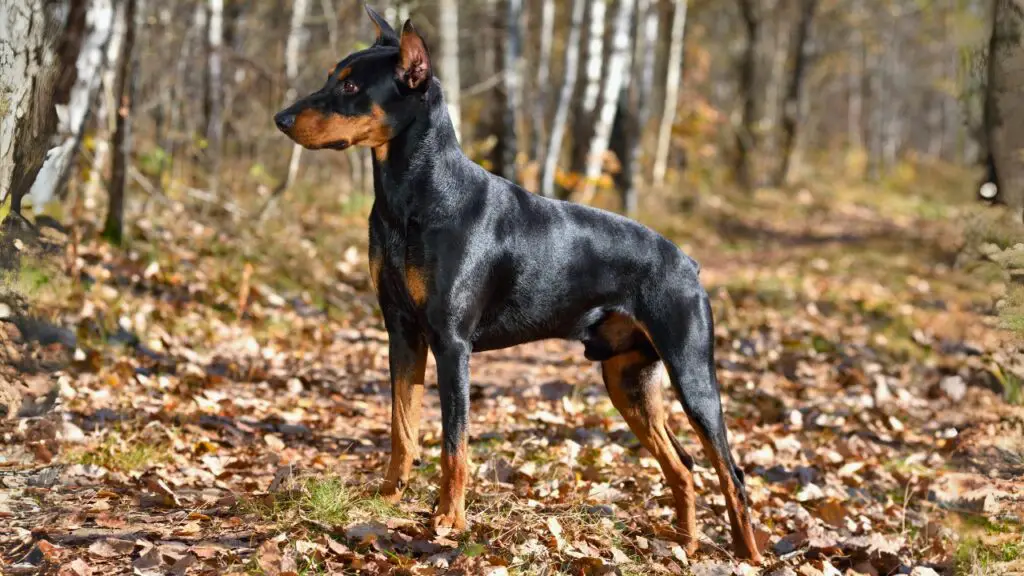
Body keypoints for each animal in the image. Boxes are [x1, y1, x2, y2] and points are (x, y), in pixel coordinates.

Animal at [276, 5, 765, 561]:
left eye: (352, 85)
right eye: (331, 77)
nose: (281, 118)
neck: (414, 194)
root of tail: (689, 262)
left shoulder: (452, 343)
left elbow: (454, 443)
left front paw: (449, 521)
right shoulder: (402, 332)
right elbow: (402, 428)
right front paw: (387, 498)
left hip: (691, 371)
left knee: (732, 473)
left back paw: (748, 555)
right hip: (626, 378)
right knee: (682, 465)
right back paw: (685, 545)